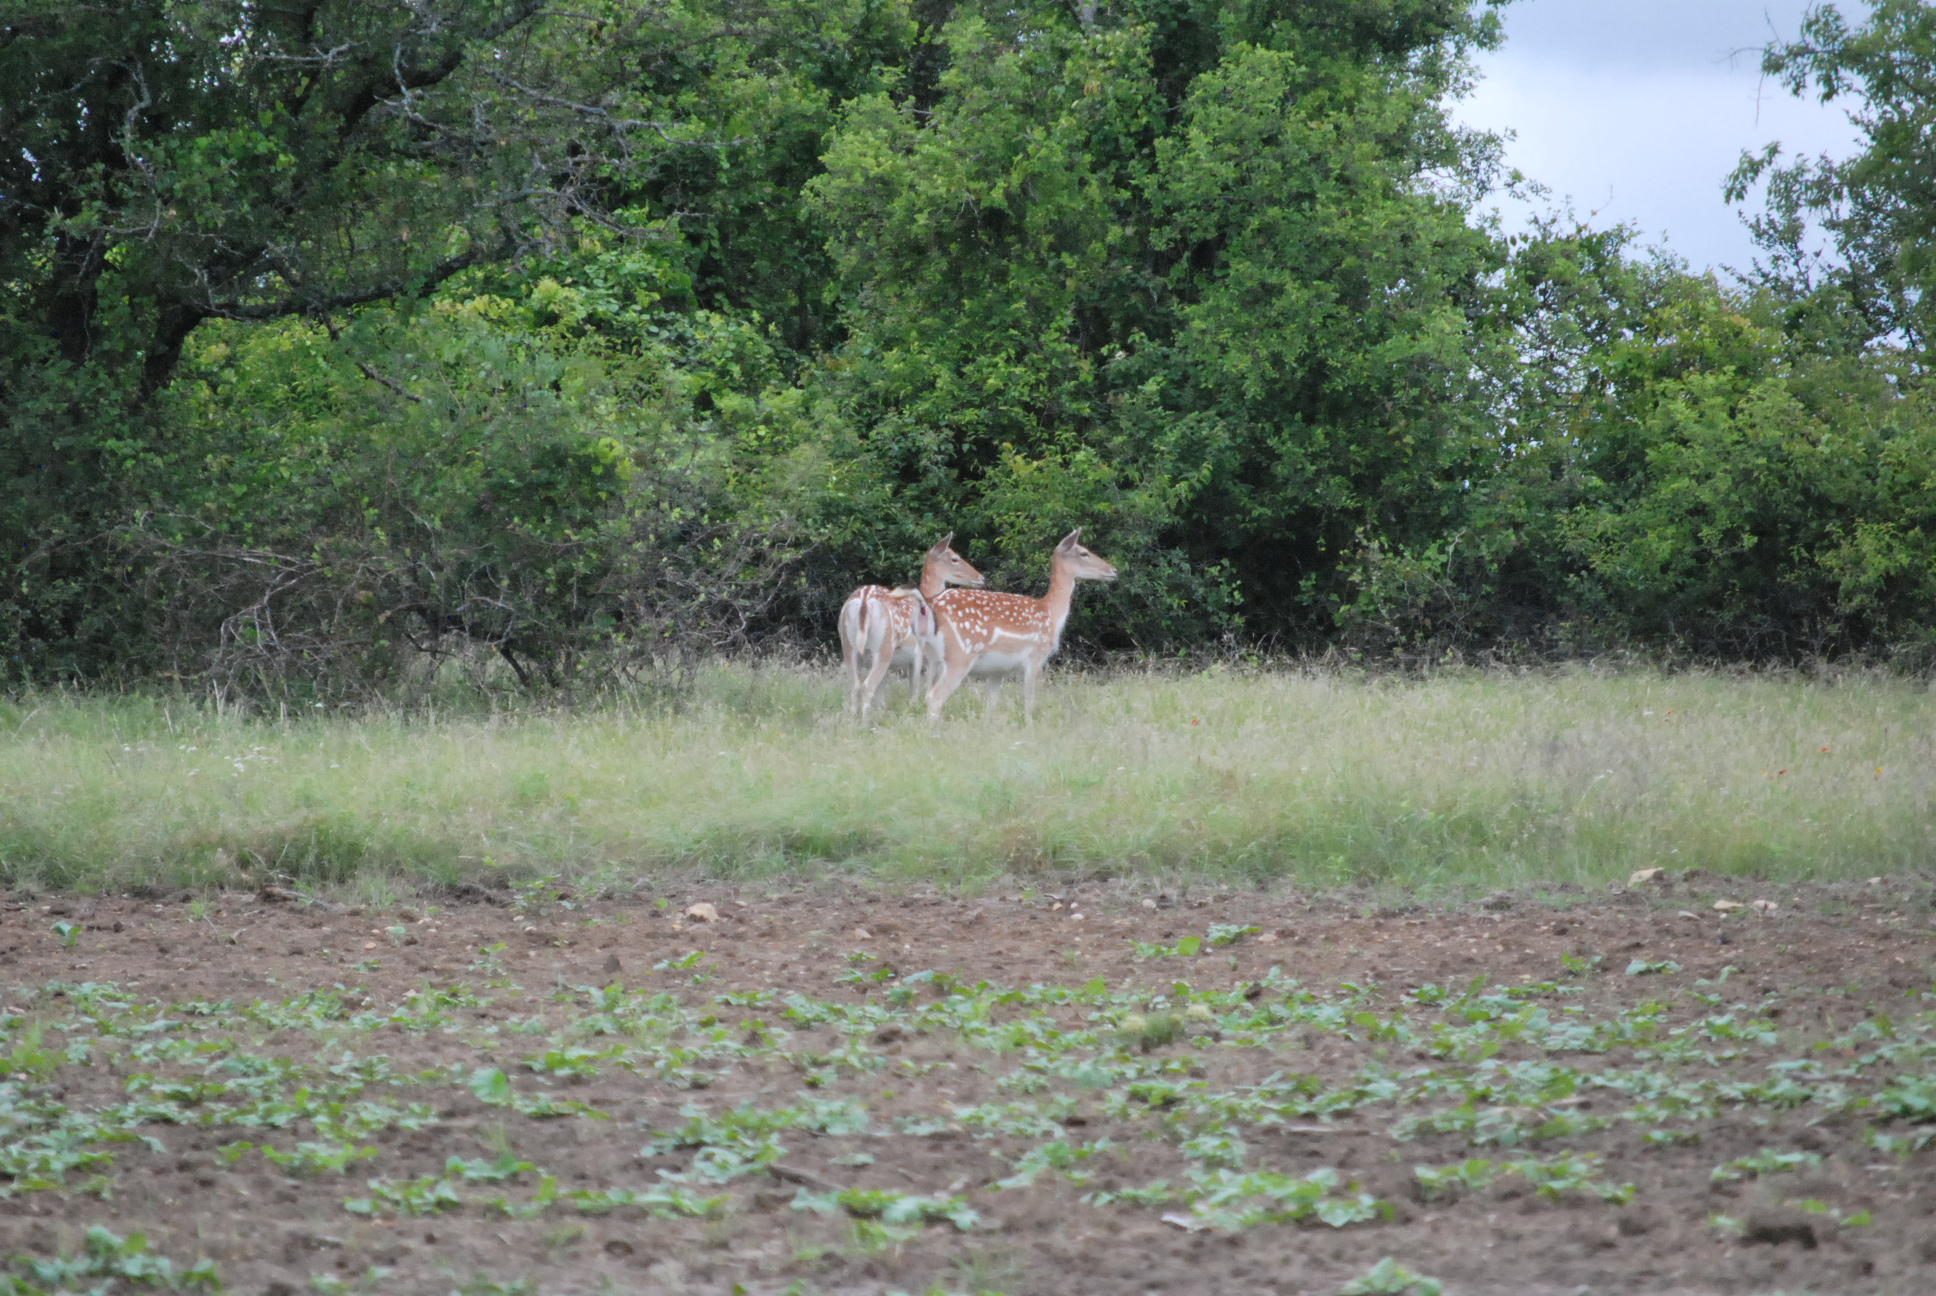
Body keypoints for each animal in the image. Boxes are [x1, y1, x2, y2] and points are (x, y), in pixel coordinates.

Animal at [836, 534, 983, 724]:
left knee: (854, 686)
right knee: (867, 686)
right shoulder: (919, 652)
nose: (981, 577)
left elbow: (882, 696)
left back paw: (852, 722)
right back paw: (864, 724)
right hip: (883, 647)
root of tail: (863, 602)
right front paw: (913, 710)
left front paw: (883, 713)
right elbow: (915, 689)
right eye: (954, 558)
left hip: (848, 646)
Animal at [921, 526, 1122, 728]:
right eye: (1084, 553)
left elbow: (991, 705)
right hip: (961, 653)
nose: (1113, 570)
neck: (1050, 614)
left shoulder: (998, 670)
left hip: (933, 658)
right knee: (934, 697)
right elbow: (1029, 701)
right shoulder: (1036, 656)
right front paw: (1030, 726)